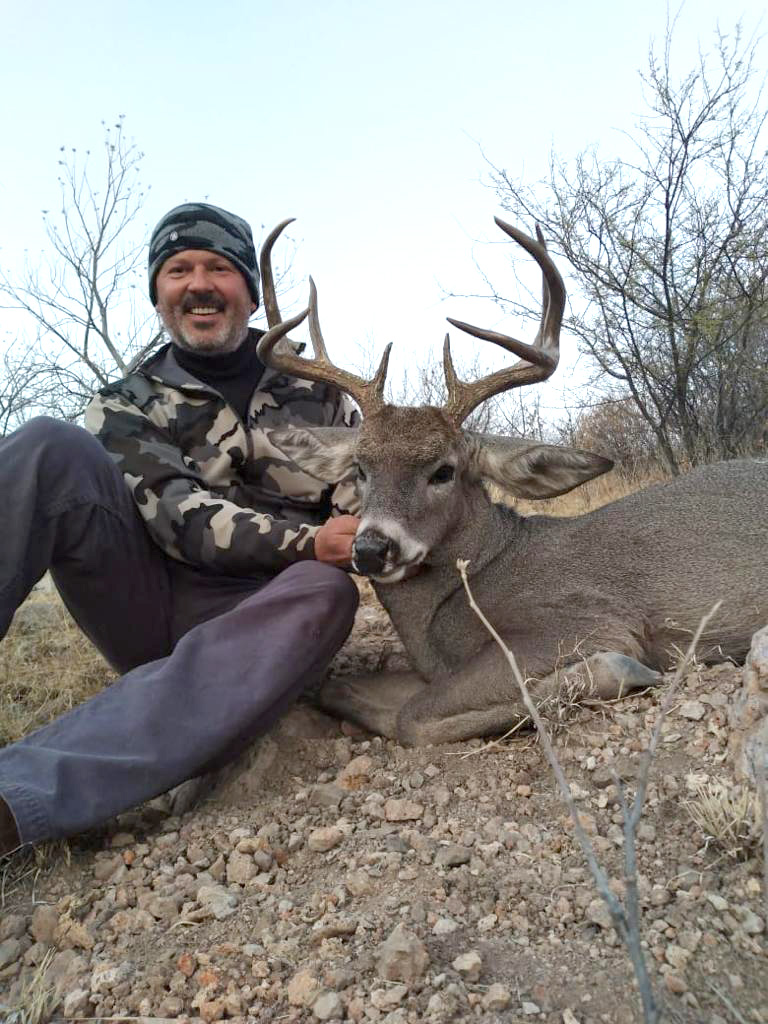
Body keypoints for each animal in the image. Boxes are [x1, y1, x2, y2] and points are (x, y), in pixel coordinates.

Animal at [254, 217, 768, 746]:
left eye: (444, 470)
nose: (372, 549)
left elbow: (413, 717)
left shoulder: (588, 619)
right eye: (360, 467)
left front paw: (621, 670)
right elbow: (338, 688)